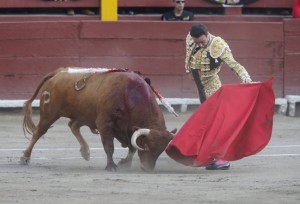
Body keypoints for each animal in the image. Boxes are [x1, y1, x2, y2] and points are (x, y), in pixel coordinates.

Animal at [21, 67, 177, 171]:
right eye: (146, 146)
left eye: (161, 150)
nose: (147, 168)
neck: (129, 95)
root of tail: (58, 72)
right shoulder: (104, 124)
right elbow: (109, 146)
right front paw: (111, 166)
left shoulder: (128, 129)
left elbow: (132, 147)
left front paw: (124, 163)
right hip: (49, 114)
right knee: (39, 132)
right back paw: (25, 157)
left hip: (85, 114)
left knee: (73, 125)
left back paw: (85, 152)